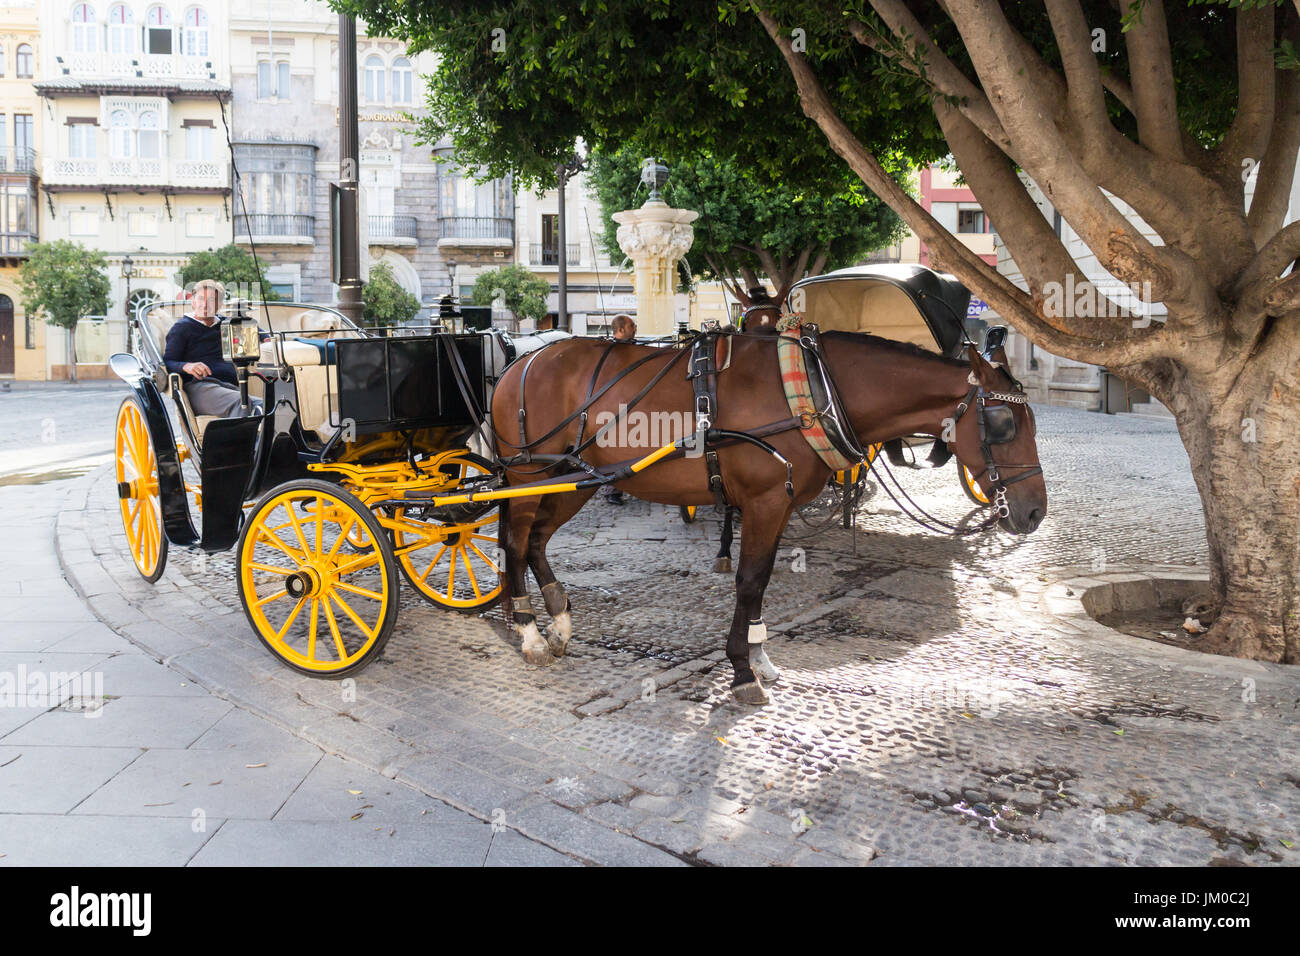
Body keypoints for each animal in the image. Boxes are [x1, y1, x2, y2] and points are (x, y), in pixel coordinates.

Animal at [488, 332, 1045, 707]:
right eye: (1003, 422)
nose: (1035, 511)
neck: (810, 390)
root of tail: (521, 361)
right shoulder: (762, 501)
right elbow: (750, 580)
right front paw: (741, 671)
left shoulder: (778, 505)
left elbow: (761, 582)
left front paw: (758, 657)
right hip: (528, 474)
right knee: (515, 542)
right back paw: (529, 631)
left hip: (571, 480)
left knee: (537, 540)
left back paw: (558, 620)